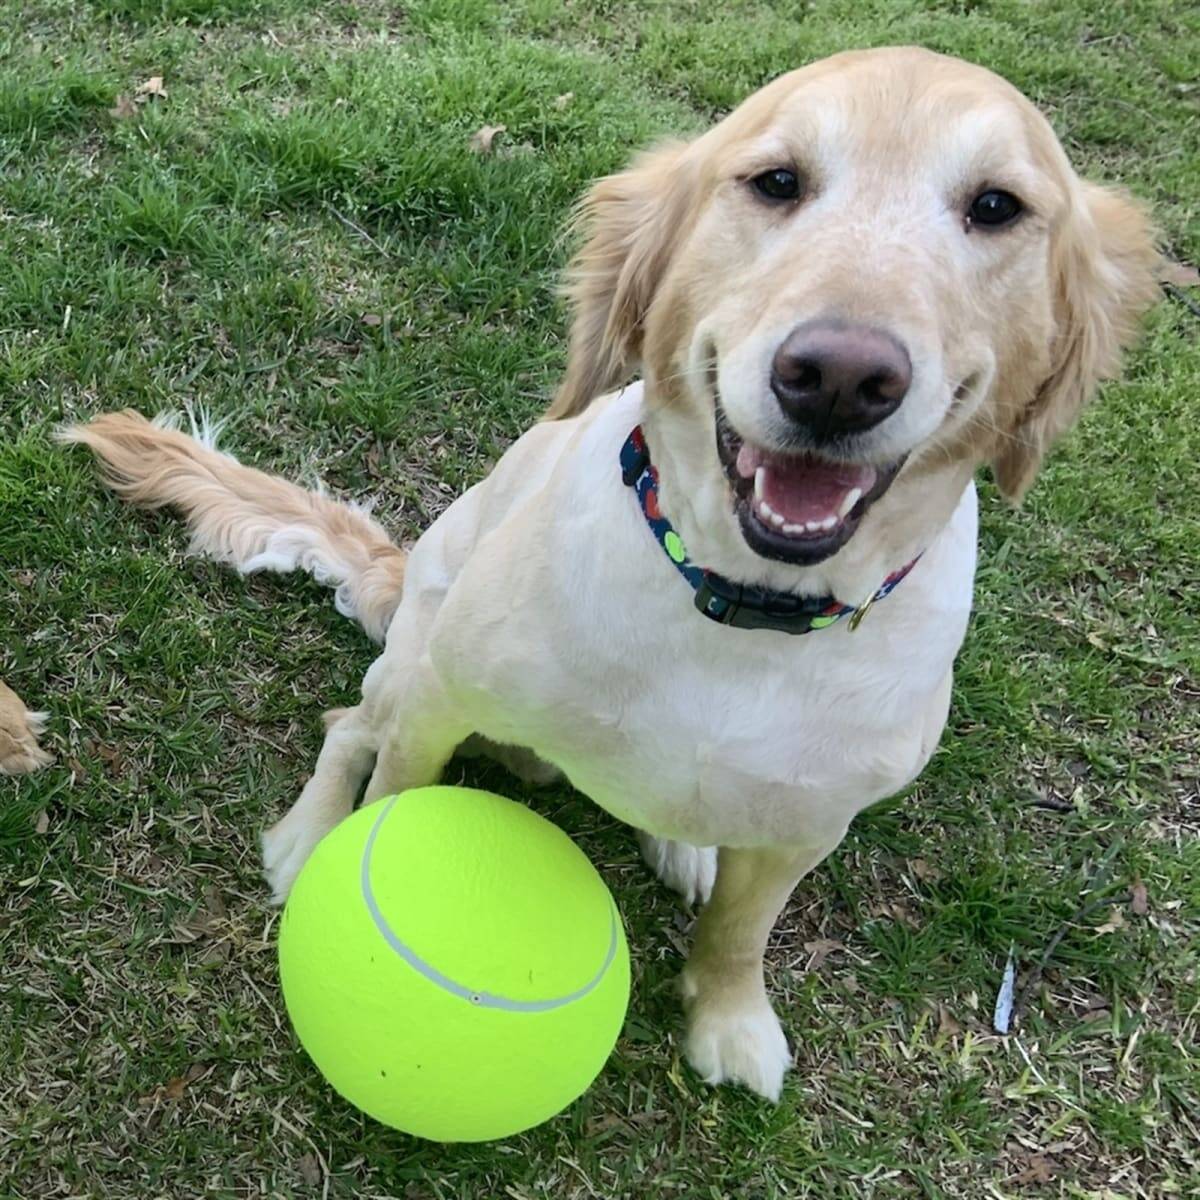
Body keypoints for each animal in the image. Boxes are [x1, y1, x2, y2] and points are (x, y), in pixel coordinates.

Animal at [63, 44, 1152, 1099]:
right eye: (776, 182)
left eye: (996, 207)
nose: (840, 378)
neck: (737, 607)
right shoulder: (439, 702)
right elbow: (392, 796)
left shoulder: (811, 823)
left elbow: (743, 933)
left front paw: (730, 1020)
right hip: (414, 645)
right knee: (345, 728)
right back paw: (303, 841)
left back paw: (684, 844)